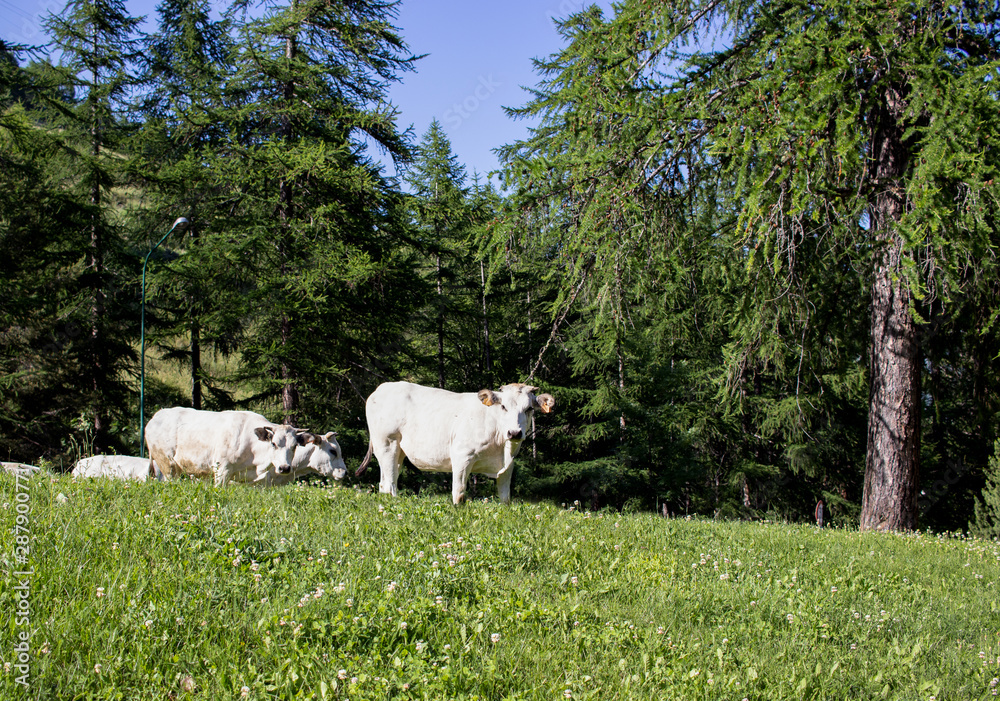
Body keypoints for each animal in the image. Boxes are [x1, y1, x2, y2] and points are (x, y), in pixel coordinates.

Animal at [144, 408, 312, 486]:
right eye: (273, 443)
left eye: (294, 446)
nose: (284, 468)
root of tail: (156, 416)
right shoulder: (222, 469)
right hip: (167, 465)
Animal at [356, 381, 555, 505]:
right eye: (503, 406)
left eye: (529, 409)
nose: (514, 432)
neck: (501, 449)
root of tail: (382, 388)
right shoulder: (462, 456)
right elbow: (459, 494)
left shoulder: (508, 465)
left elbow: (505, 498)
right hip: (386, 444)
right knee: (390, 485)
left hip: (398, 451)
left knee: (385, 482)